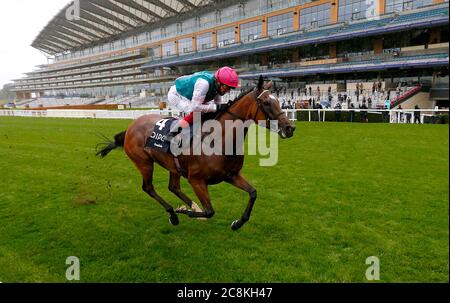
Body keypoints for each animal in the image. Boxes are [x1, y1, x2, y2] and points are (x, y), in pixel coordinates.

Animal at [96, 75, 296, 230]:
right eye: (267, 102)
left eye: (279, 101)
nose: (290, 128)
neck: (218, 141)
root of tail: (130, 126)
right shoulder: (196, 180)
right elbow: (210, 211)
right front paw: (183, 211)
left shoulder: (231, 175)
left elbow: (253, 193)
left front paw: (237, 223)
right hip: (144, 162)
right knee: (148, 188)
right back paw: (174, 214)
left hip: (173, 165)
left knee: (173, 187)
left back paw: (191, 206)